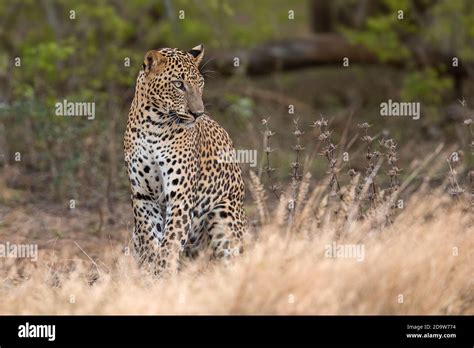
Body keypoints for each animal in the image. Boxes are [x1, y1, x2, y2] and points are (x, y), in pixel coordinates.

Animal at [122, 44, 248, 278]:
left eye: (201, 84)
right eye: (178, 85)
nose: (198, 113)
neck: (154, 125)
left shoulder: (181, 195)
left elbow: (170, 242)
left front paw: (162, 275)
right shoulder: (143, 195)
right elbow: (150, 240)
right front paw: (150, 275)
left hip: (224, 213)